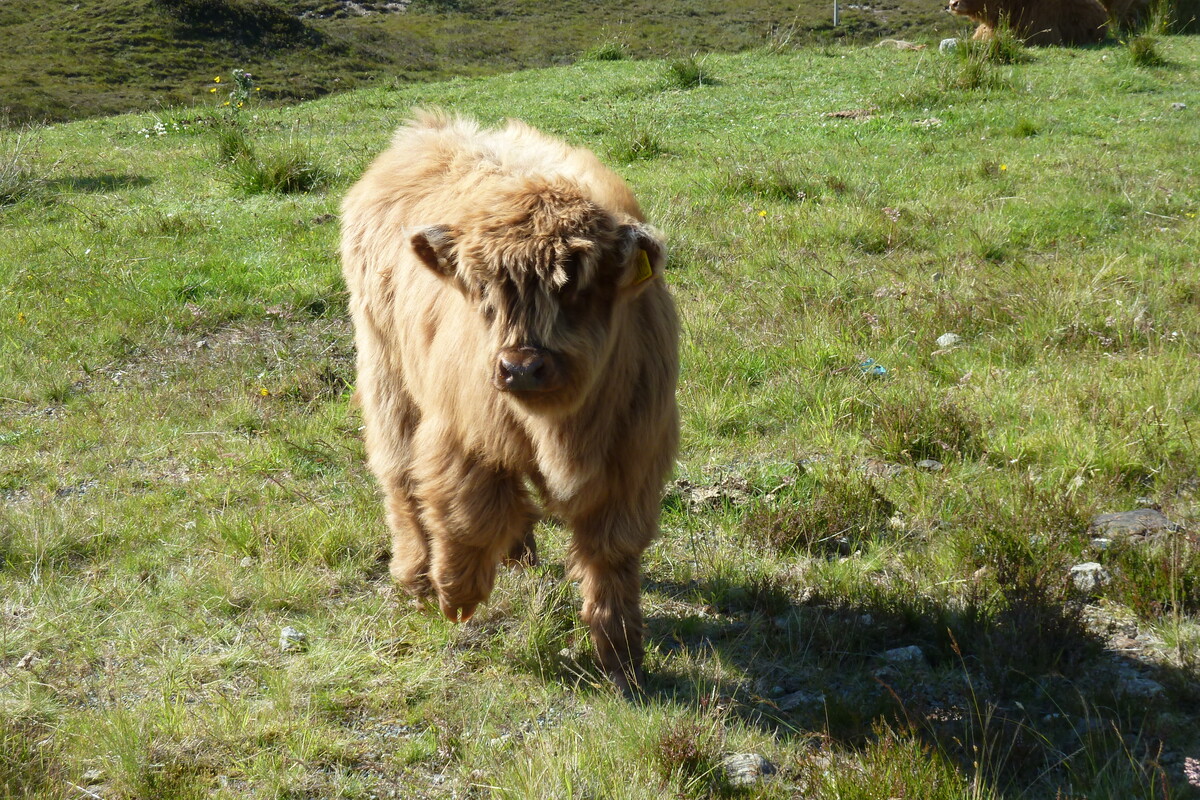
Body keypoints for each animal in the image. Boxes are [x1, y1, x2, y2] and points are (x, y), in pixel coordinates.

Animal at [343, 112, 681, 695]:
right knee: (399, 476)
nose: (521, 367)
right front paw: (455, 596)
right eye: (483, 291)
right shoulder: (461, 433)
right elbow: (467, 515)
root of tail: (425, 130)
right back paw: (415, 577)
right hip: (385, 369)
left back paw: (520, 553)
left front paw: (621, 656)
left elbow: (612, 551)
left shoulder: (633, 456)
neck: (560, 431)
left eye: (578, 289)